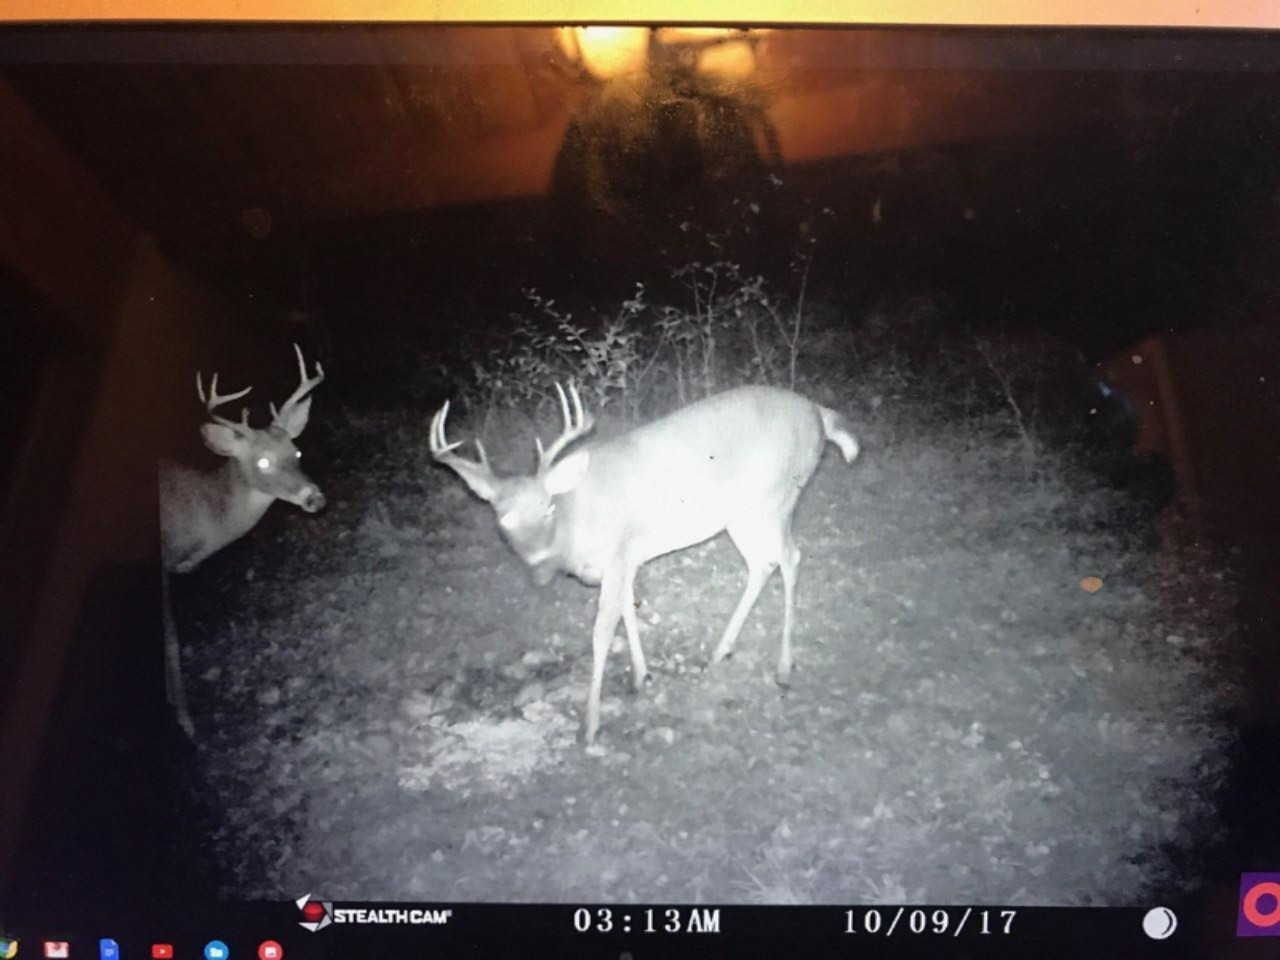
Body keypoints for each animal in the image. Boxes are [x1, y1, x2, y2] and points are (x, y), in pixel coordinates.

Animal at [429, 383, 859, 745]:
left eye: (547, 507)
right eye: (502, 520)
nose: (537, 566)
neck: (575, 523)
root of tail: (819, 414)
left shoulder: (618, 554)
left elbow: (602, 633)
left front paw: (590, 727)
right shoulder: (626, 560)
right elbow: (627, 611)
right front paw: (641, 675)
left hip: (776, 496)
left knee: (790, 557)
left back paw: (783, 666)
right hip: (741, 514)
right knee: (761, 564)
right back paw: (721, 650)